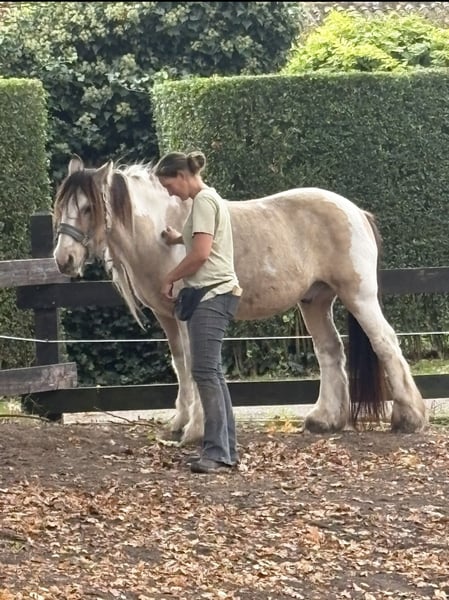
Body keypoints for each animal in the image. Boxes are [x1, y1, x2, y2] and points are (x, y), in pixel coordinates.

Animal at [53, 156, 428, 444]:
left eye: (87, 208)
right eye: (60, 208)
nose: (63, 259)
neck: (159, 233)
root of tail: (356, 211)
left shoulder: (187, 313)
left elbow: (194, 363)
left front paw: (196, 430)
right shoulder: (167, 316)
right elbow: (180, 364)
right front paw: (178, 424)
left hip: (358, 295)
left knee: (385, 343)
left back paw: (409, 418)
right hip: (315, 301)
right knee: (330, 351)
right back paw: (324, 420)